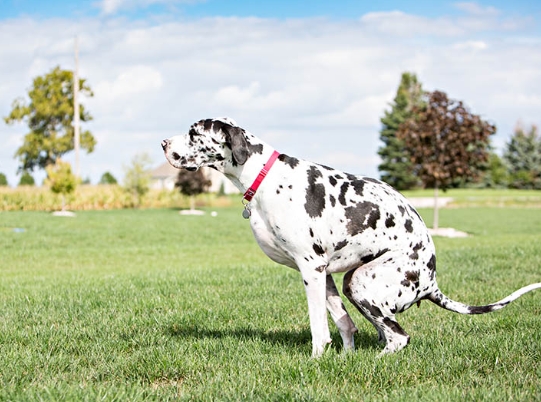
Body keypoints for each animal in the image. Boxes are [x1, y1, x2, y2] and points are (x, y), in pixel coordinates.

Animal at [160, 118, 540, 356]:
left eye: (194, 132)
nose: (163, 142)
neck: (266, 177)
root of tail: (431, 280)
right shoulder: (324, 273)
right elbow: (343, 324)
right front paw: (344, 357)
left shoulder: (310, 269)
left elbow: (319, 328)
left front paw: (317, 359)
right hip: (353, 284)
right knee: (386, 331)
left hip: (363, 284)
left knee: (399, 337)